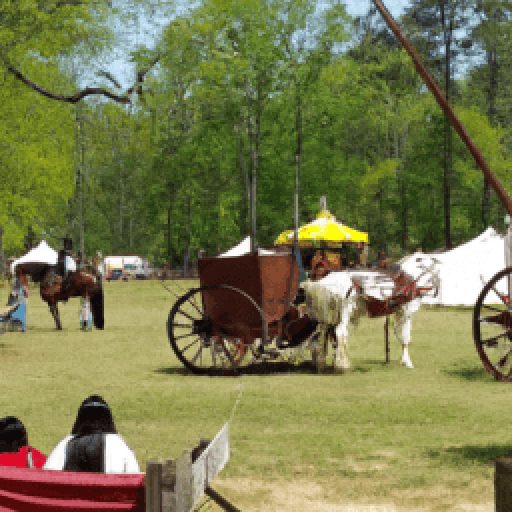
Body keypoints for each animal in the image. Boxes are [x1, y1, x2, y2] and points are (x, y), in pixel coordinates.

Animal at [300, 255, 440, 372]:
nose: (436, 261)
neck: (408, 280)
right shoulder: (407, 313)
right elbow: (406, 337)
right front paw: (408, 362)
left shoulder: (399, 313)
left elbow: (400, 336)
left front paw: (403, 360)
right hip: (345, 310)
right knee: (340, 332)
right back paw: (342, 365)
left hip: (329, 315)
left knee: (323, 334)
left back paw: (322, 364)